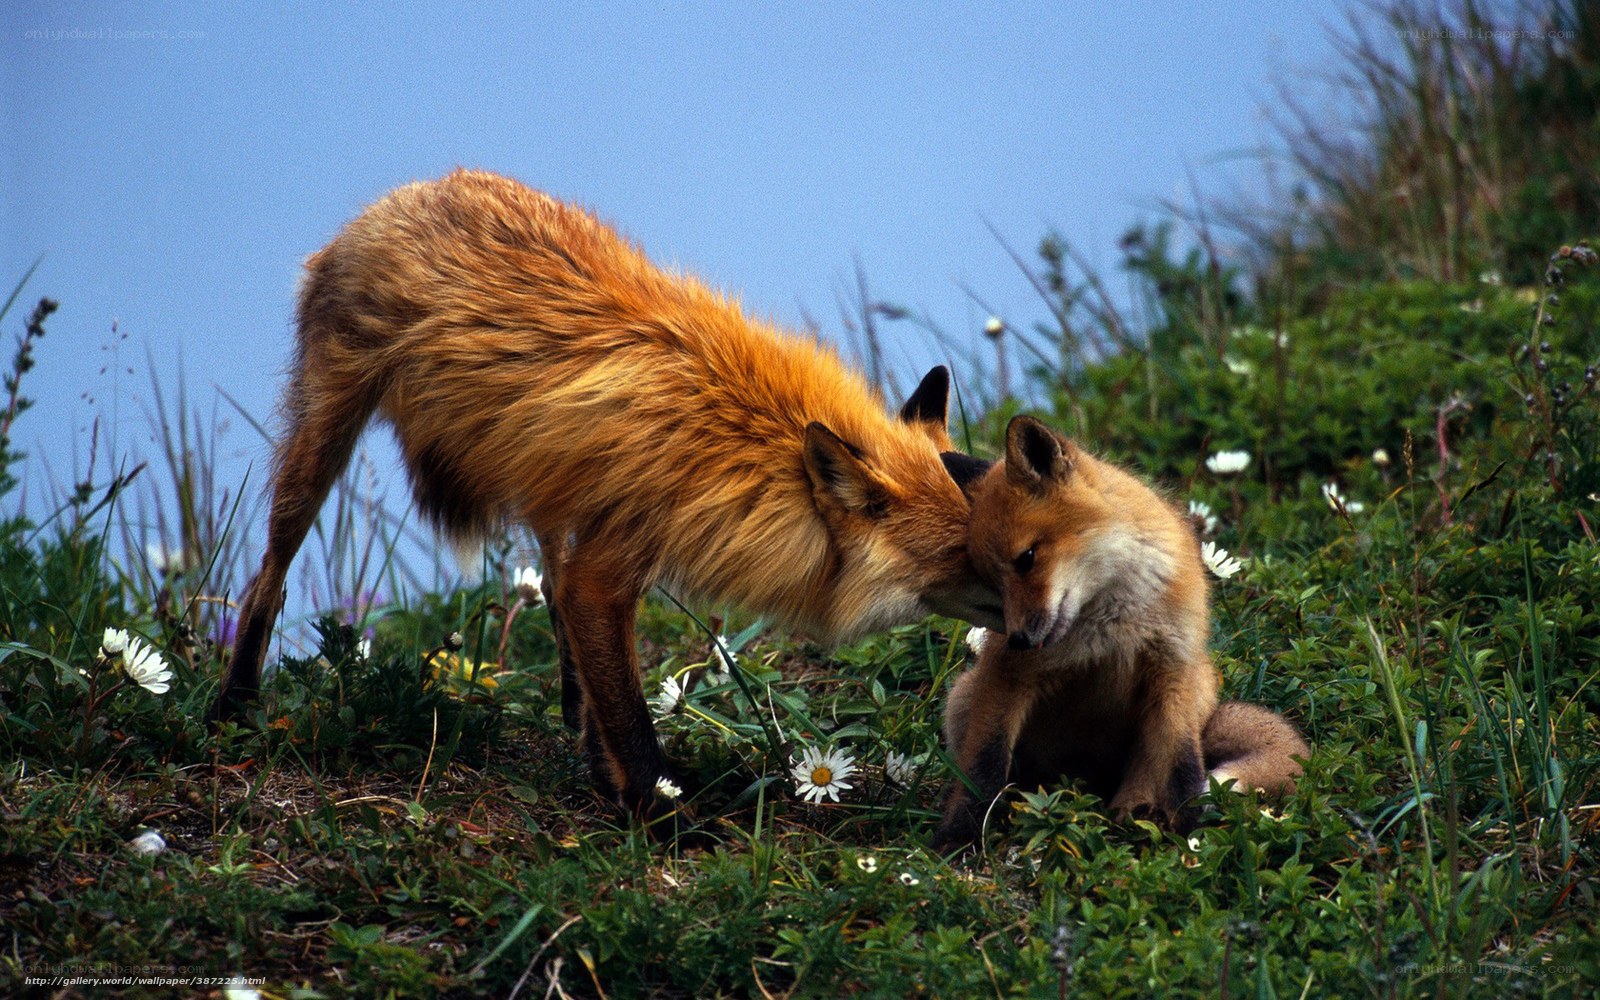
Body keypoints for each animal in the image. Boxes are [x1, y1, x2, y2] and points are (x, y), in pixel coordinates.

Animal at [208, 169, 1004, 817]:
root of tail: (406, 192)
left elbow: (603, 675)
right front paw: (662, 818)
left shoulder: (603, 547)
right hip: (323, 442)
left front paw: (613, 775)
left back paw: (575, 721)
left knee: (554, 598)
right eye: (967, 558)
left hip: (547, 489)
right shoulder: (611, 566)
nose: (1036, 616)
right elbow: (632, 721)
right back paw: (234, 707)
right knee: (267, 578)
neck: (743, 444)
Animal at [933, 415, 1307, 850]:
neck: (1111, 620)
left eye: (1026, 559)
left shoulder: (1173, 667)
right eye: (992, 583)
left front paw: (1188, 828)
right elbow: (983, 766)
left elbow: (1183, 767)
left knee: (1149, 770)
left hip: (1194, 690)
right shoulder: (1007, 677)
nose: (1018, 640)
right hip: (963, 699)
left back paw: (1134, 814)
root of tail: (1086, 780)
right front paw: (957, 834)